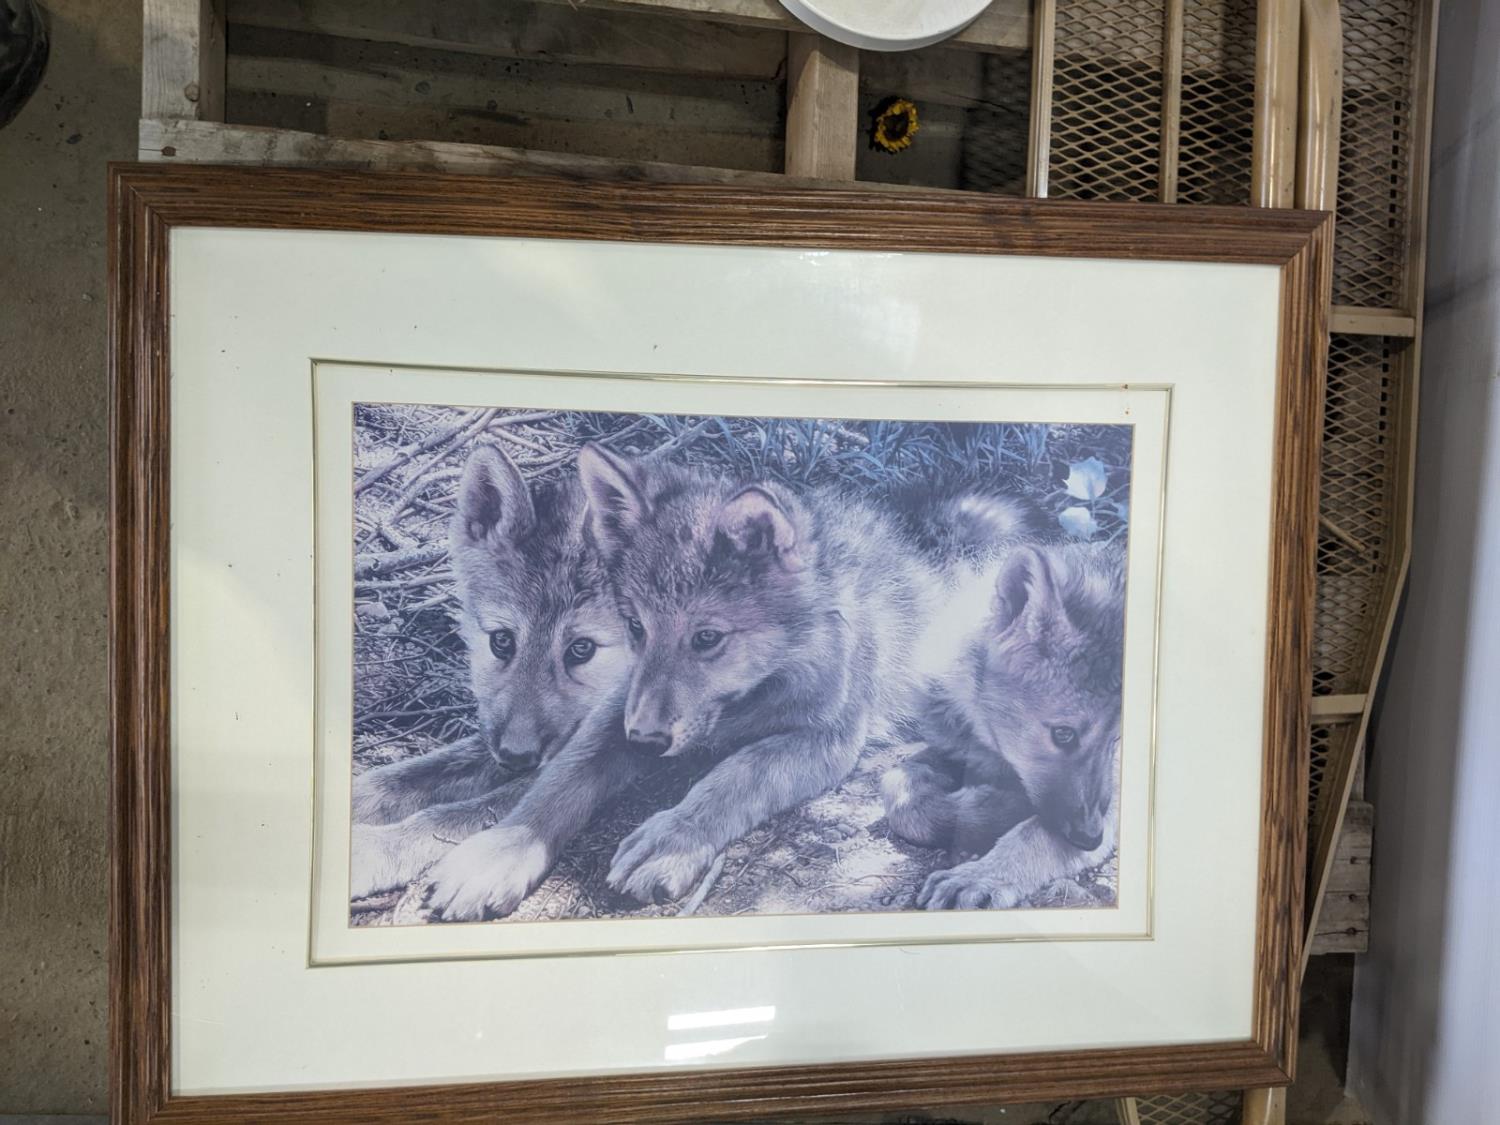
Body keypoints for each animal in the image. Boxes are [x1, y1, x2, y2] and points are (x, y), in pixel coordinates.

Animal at [348, 442, 631, 899]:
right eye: (501, 641)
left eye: (581, 648)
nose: (517, 757)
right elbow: (404, 776)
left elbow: (452, 815)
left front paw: (372, 848)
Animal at [882, 541, 1126, 910]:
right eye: (1064, 734)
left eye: (1116, 739)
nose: (1089, 837)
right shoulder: (953, 746)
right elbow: (897, 790)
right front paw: (992, 810)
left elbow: (1035, 833)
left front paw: (982, 875)